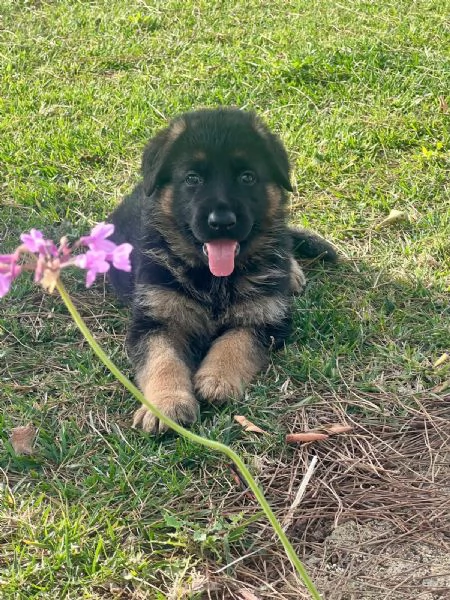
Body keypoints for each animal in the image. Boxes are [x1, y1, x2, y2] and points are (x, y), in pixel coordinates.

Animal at [108, 108, 334, 434]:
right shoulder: (155, 320)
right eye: (192, 178)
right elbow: (162, 360)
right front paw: (166, 405)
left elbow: (235, 342)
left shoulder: (264, 318)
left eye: (247, 177)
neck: (214, 280)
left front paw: (217, 379)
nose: (222, 222)